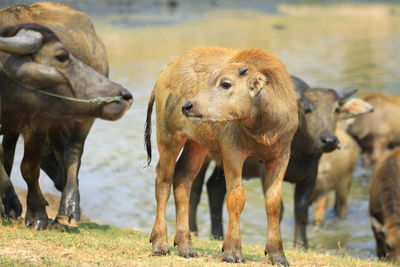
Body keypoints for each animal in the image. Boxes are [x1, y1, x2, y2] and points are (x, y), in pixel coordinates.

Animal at [0, 22, 134, 230]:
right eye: (62, 56)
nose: (125, 95)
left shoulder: (36, 126)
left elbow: (28, 168)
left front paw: (37, 215)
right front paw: (10, 204)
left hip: (83, 120)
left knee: (72, 152)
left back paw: (67, 212)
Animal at [188, 77, 362, 249]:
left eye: (336, 110)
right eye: (307, 109)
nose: (329, 140)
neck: (299, 153)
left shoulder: (310, 175)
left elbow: (301, 209)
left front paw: (301, 245)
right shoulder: (265, 171)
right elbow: (278, 207)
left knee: (215, 189)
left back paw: (217, 236)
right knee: (195, 187)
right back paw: (193, 231)